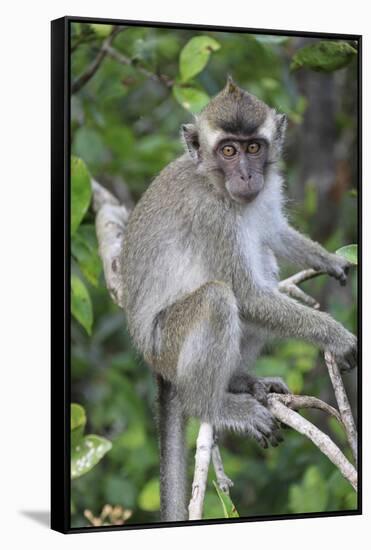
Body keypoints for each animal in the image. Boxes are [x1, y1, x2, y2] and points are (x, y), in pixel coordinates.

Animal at [121, 77, 358, 520]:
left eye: (254, 148)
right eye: (228, 151)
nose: (247, 174)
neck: (215, 183)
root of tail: (154, 362)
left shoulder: (266, 194)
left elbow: (274, 232)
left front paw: (330, 259)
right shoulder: (210, 215)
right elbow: (246, 297)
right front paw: (336, 336)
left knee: (263, 258)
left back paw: (239, 381)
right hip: (166, 343)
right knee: (218, 299)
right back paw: (211, 406)